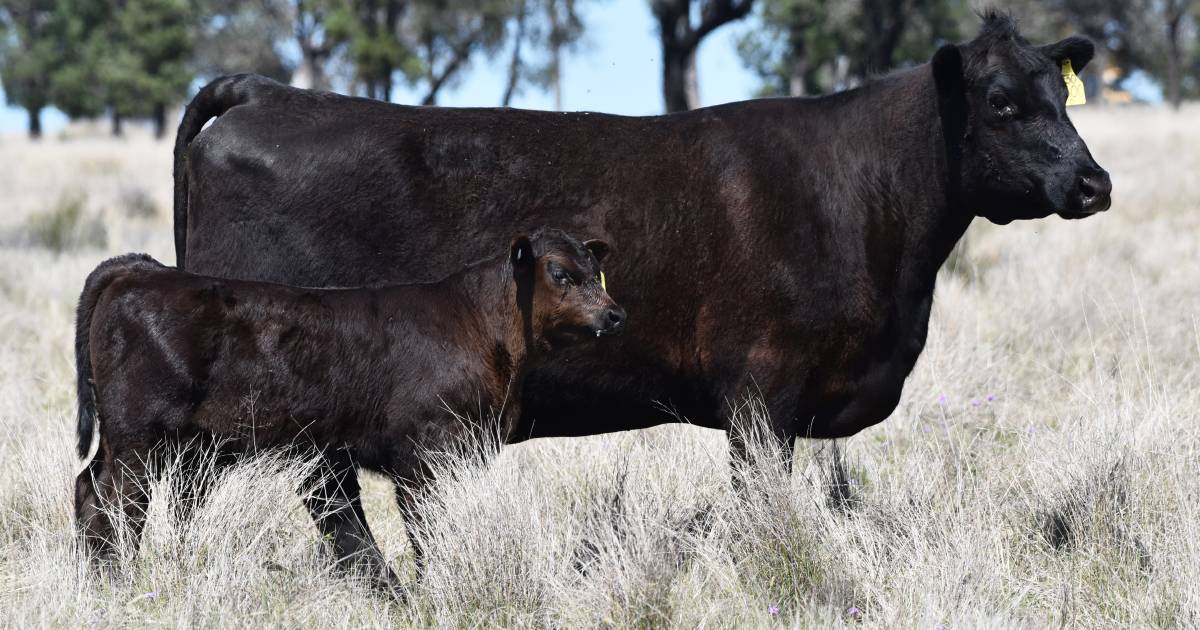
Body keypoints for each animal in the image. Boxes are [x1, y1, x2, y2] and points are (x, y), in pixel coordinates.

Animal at [73, 229, 624, 585]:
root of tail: (146, 271)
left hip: (125, 438)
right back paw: (116, 580)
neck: (480, 325)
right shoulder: (424, 455)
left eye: (596, 272)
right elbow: (428, 528)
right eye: (560, 273)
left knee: (87, 487)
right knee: (118, 503)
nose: (615, 314)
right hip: (140, 436)